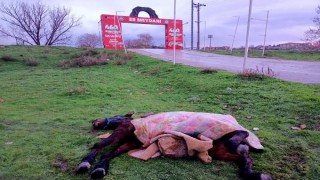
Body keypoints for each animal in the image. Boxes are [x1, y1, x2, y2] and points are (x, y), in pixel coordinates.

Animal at [75, 112, 272, 179]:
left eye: (115, 115)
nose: (95, 123)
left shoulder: (126, 133)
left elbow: (102, 147)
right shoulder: (131, 139)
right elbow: (108, 152)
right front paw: (98, 167)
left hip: (222, 138)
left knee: (242, 141)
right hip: (219, 149)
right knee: (244, 154)